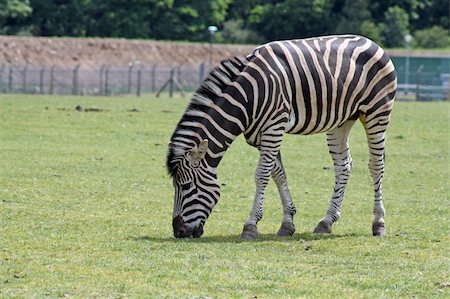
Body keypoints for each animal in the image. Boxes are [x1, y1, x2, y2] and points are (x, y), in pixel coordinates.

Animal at [167, 35, 396, 240]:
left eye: (186, 186)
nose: (178, 232)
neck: (248, 96)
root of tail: (371, 42)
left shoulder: (274, 127)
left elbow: (262, 175)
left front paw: (250, 226)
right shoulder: (260, 135)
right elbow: (278, 174)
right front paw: (287, 224)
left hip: (377, 113)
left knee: (376, 165)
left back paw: (379, 224)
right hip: (342, 121)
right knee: (343, 166)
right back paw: (326, 221)